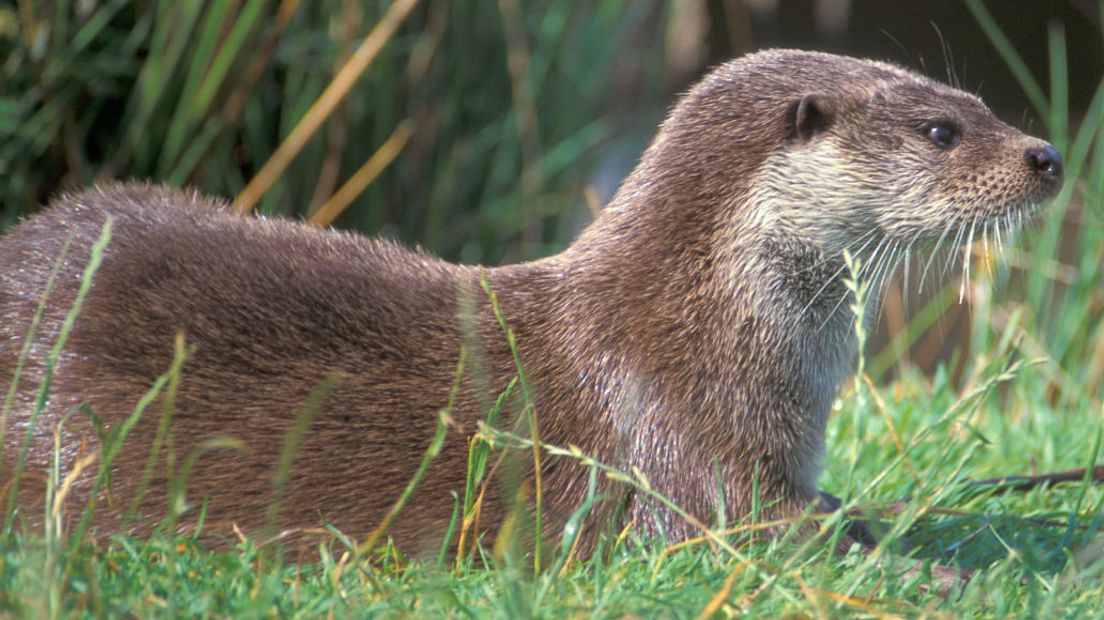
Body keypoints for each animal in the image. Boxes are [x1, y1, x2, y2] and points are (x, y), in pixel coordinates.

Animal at [4, 48, 1064, 549]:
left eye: (981, 105)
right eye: (939, 130)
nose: (1048, 154)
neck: (704, 323)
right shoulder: (685, 446)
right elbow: (767, 529)